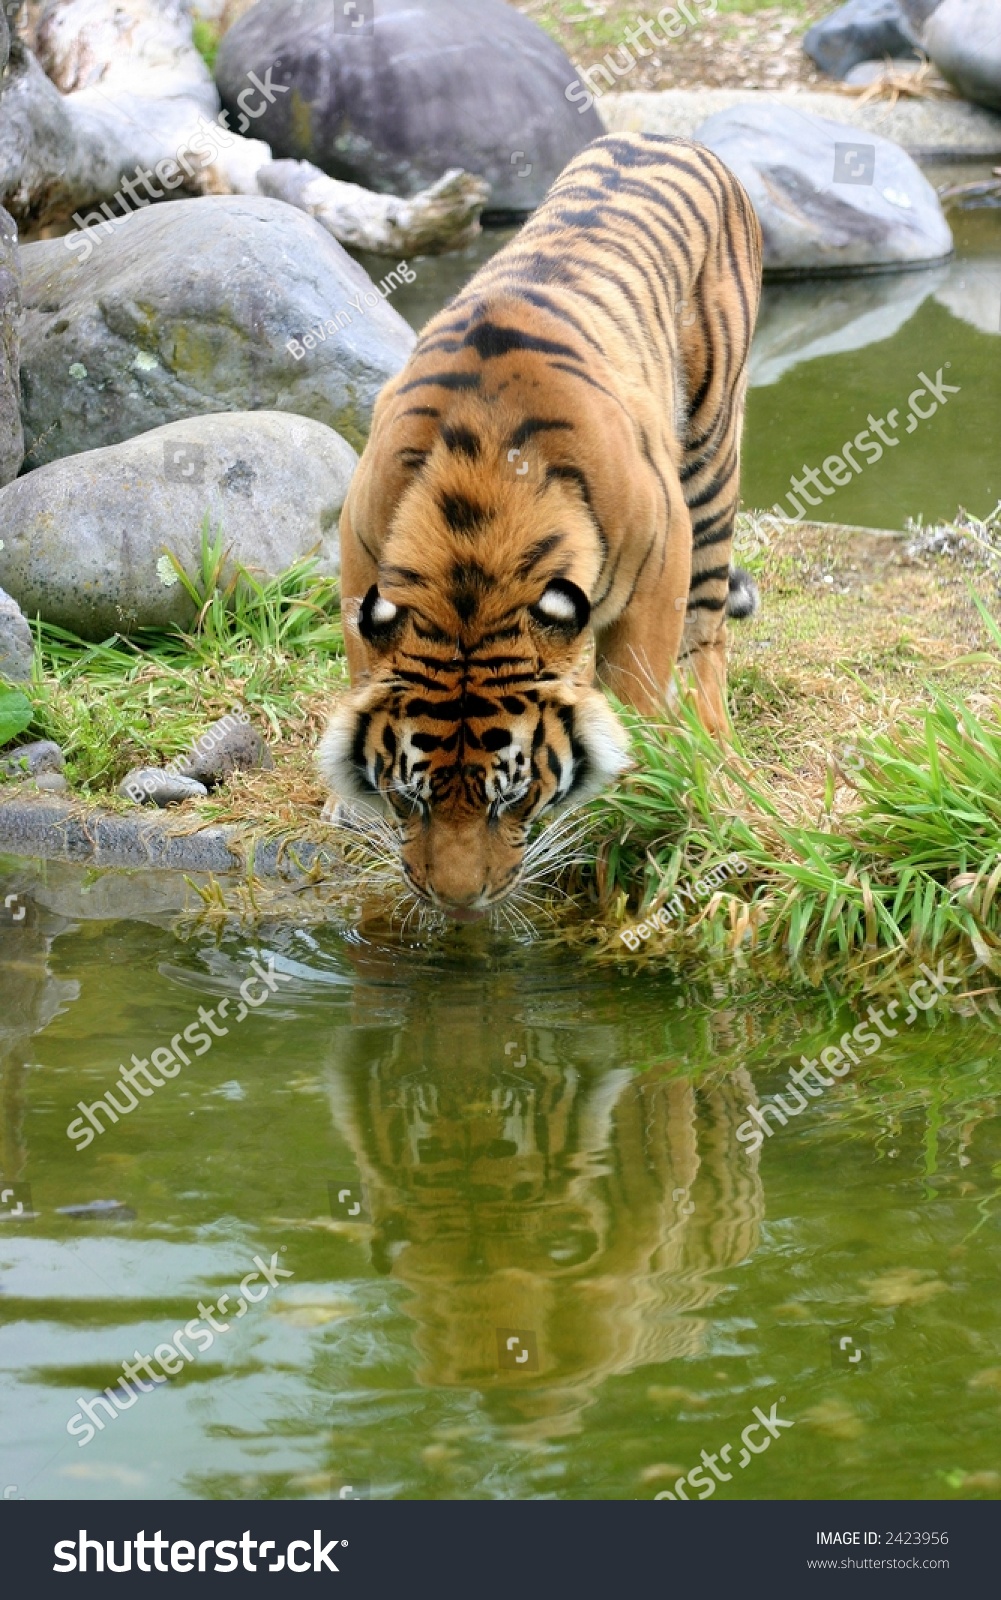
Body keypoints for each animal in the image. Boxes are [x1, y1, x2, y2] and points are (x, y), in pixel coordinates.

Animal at [318, 134, 754, 928]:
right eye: (410, 798)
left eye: (512, 800)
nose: (459, 906)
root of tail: (666, 136)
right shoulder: (359, 559)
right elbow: (364, 671)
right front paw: (353, 809)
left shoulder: (661, 561)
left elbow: (638, 689)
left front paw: (641, 797)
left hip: (711, 466)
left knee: (707, 634)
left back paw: (713, 750)